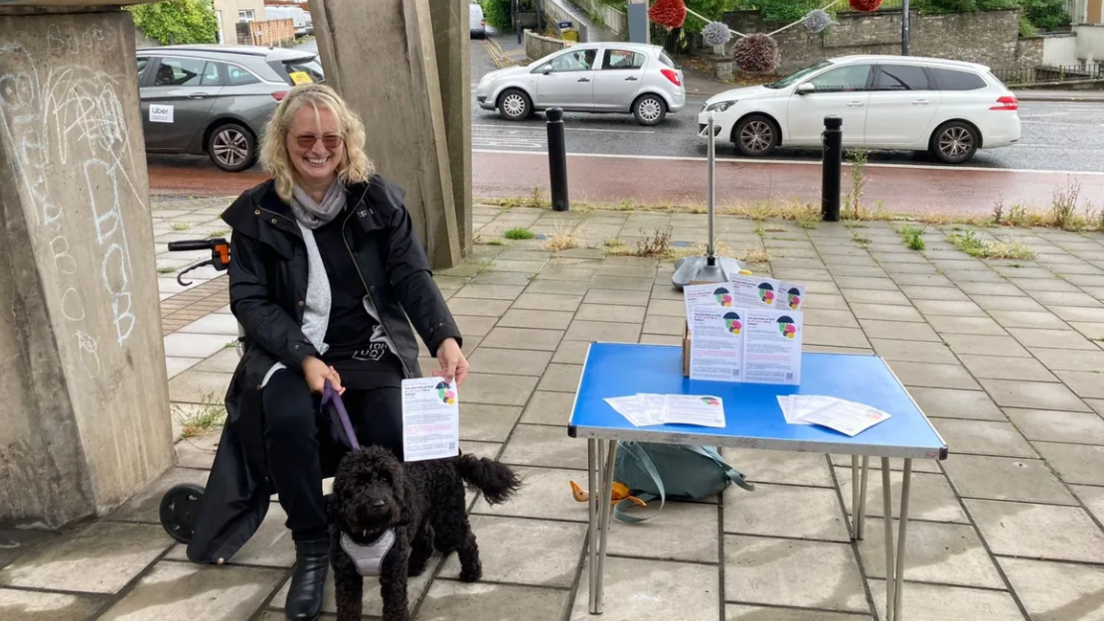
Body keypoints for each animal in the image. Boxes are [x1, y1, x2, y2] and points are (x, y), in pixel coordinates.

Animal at [326, 444, 521, 618]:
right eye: (359, 482)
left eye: (386, 480)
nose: (379, 504)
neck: (368, 534)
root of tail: (451, 459)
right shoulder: (346, 576)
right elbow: (348, 607)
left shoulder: (392, 573)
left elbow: (395, 607)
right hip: (419, 519)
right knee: (426, 538)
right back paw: (415, 565)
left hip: (448, 519)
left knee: (467, 540)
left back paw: (471, 572)